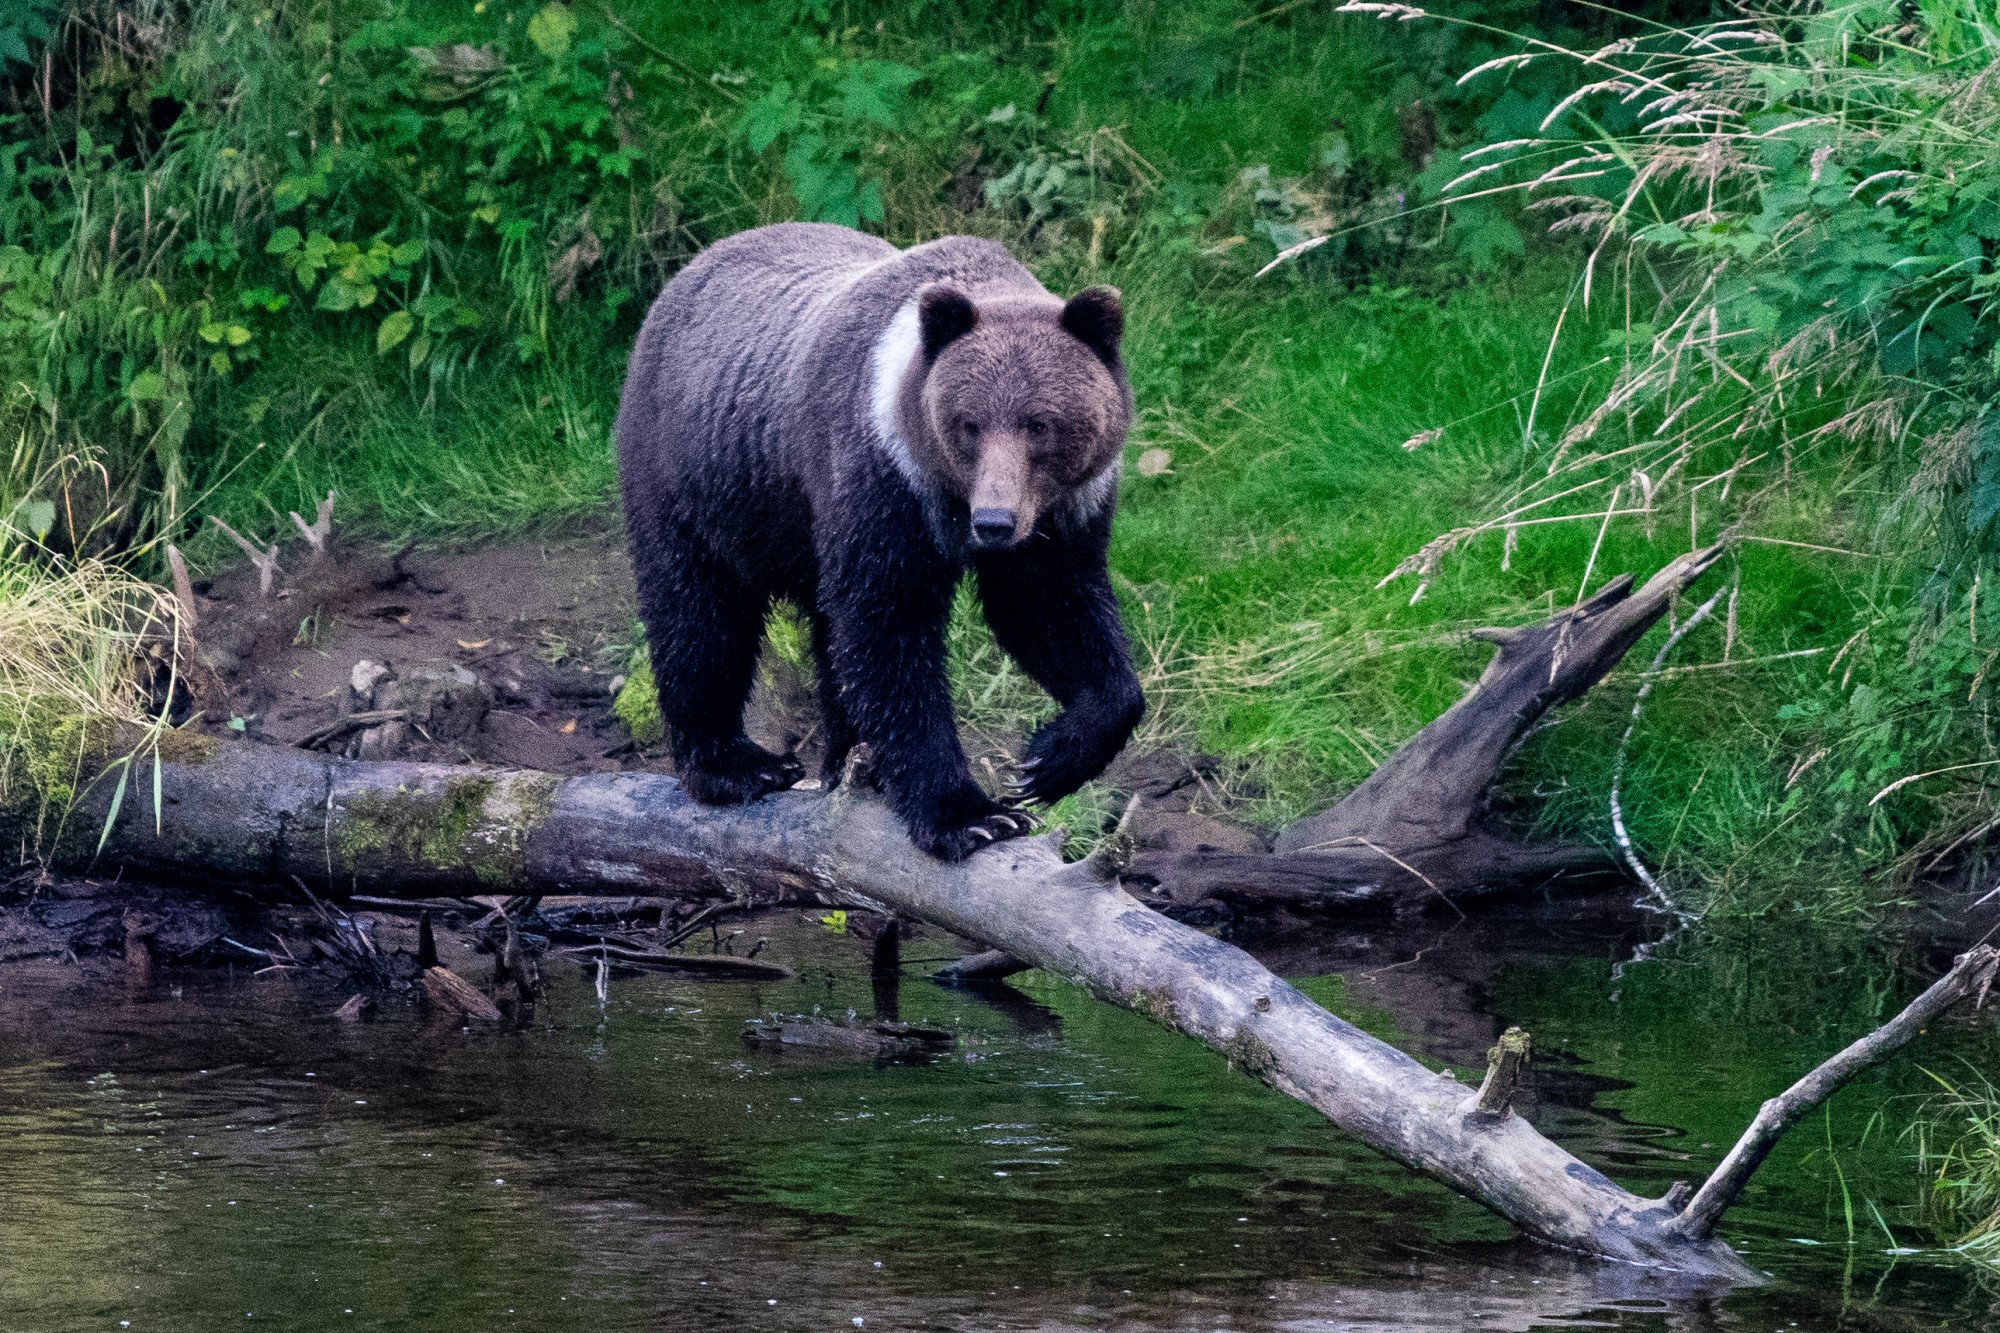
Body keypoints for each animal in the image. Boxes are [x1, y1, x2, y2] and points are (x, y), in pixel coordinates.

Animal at [608, 222, 1144, 856]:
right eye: (969, 423)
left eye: (1041, 424)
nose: (993, 523)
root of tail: (680, 278)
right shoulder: (880, 485)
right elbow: (888, 632)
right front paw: (969, 813)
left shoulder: (1060, 518)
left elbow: (1052, 611)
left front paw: (1051, 761)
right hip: (696, 479)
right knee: (699, 618)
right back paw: (737, 765)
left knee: (821, 636)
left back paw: (845, 763)